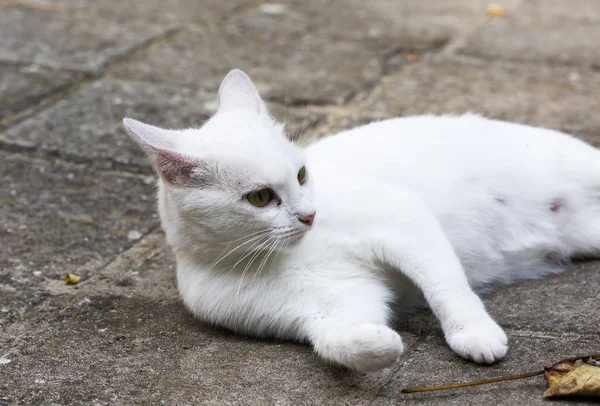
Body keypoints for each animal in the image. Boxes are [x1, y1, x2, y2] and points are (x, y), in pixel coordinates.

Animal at [123, 69, 600, 372]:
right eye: (259, 198)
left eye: (302, 174)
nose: (310, 214)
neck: (289, 254)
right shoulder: (332, 305)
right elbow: (335, 343)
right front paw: (381, 345)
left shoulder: (404, 222)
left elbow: (446, 286)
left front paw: (474, 333)